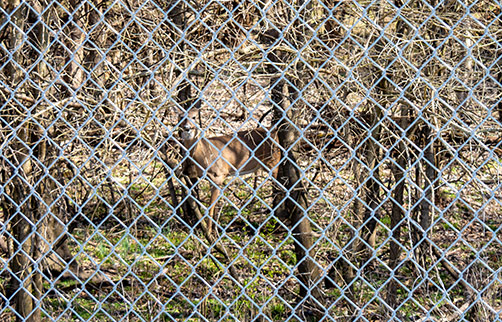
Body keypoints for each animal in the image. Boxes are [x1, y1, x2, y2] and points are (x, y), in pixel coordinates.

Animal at [177, 107, 280, 235]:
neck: (203, 154)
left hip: (274, 161)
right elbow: (215, 206)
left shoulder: (219, 175)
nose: (187, 127)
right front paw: (214, 229)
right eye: (181, 117)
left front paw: (209, 232)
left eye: (194, 117)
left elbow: (210, 207)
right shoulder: (211, 178)